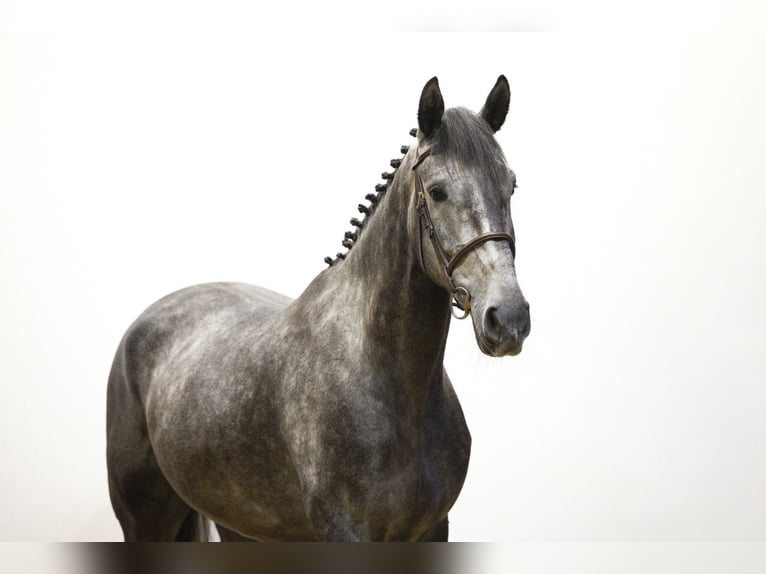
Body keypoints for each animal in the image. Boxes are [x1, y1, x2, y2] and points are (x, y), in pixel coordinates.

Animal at [106, 75, 531, 541]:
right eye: (436, 192)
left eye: (510, 184)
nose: (509, 317)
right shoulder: (345, 532)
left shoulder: (434, 529)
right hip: (145, 520)